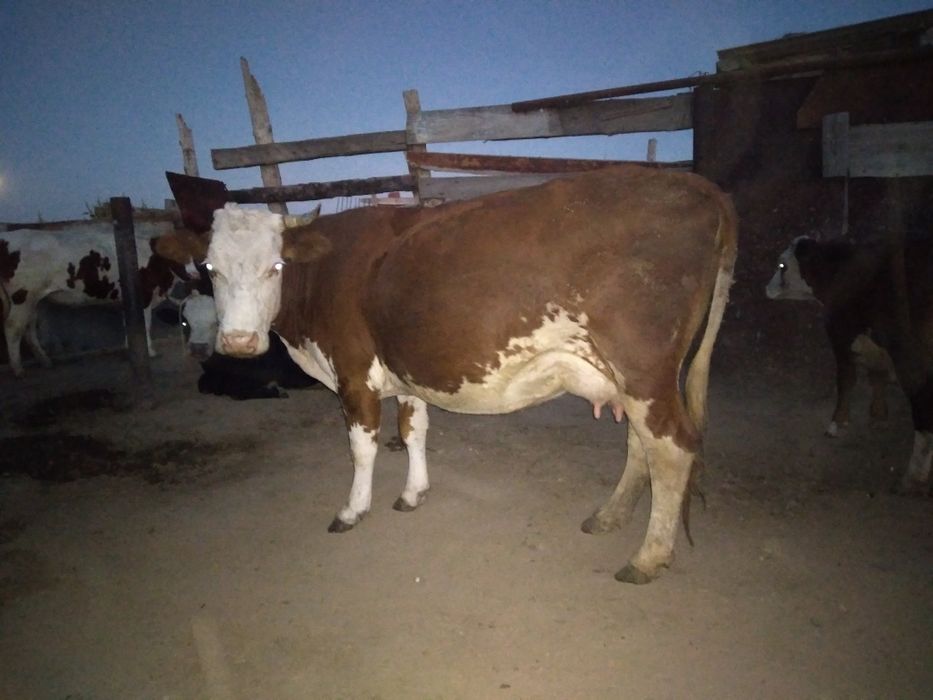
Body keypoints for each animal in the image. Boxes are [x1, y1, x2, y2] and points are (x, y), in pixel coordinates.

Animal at [0, 220, 189, 376]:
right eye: (180, 254)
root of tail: (8, 239)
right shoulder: (143, 296)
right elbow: (144, 325)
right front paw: (150, 352)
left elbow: (129, 324)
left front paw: (131, 350)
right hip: (23, 296)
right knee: (13, 327)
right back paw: (18, 369)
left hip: (34, 300)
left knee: (29, 327)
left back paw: (44, 360)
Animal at [179, 290, 317, 400]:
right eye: (184, 323)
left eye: (218, 323)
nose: (198, 348)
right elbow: (203, 385)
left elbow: (237, 391)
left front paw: (275, 390)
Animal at [766, 234, 933, 494]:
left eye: (781, 265)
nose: (767, 288)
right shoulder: (872, 346)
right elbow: (876, 376)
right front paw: (878, 417)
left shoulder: (840, 334)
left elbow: (846, 379)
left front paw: (837, 423)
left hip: (910, 357)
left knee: (922, 405)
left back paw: (913, 477)